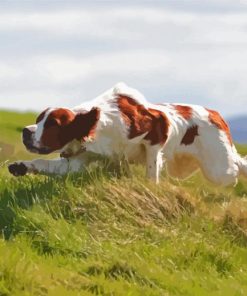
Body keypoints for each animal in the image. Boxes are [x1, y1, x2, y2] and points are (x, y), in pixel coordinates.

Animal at [7, 82, 247, 186]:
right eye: (38, 120)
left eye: (52, 124)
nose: (26, 132)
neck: (100, 126)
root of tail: (216, 114)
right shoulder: (77, 160)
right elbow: (43, 163)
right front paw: (19, 166)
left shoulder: (156, 133)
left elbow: (151, 170)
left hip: (218, 169)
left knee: (235, 167)